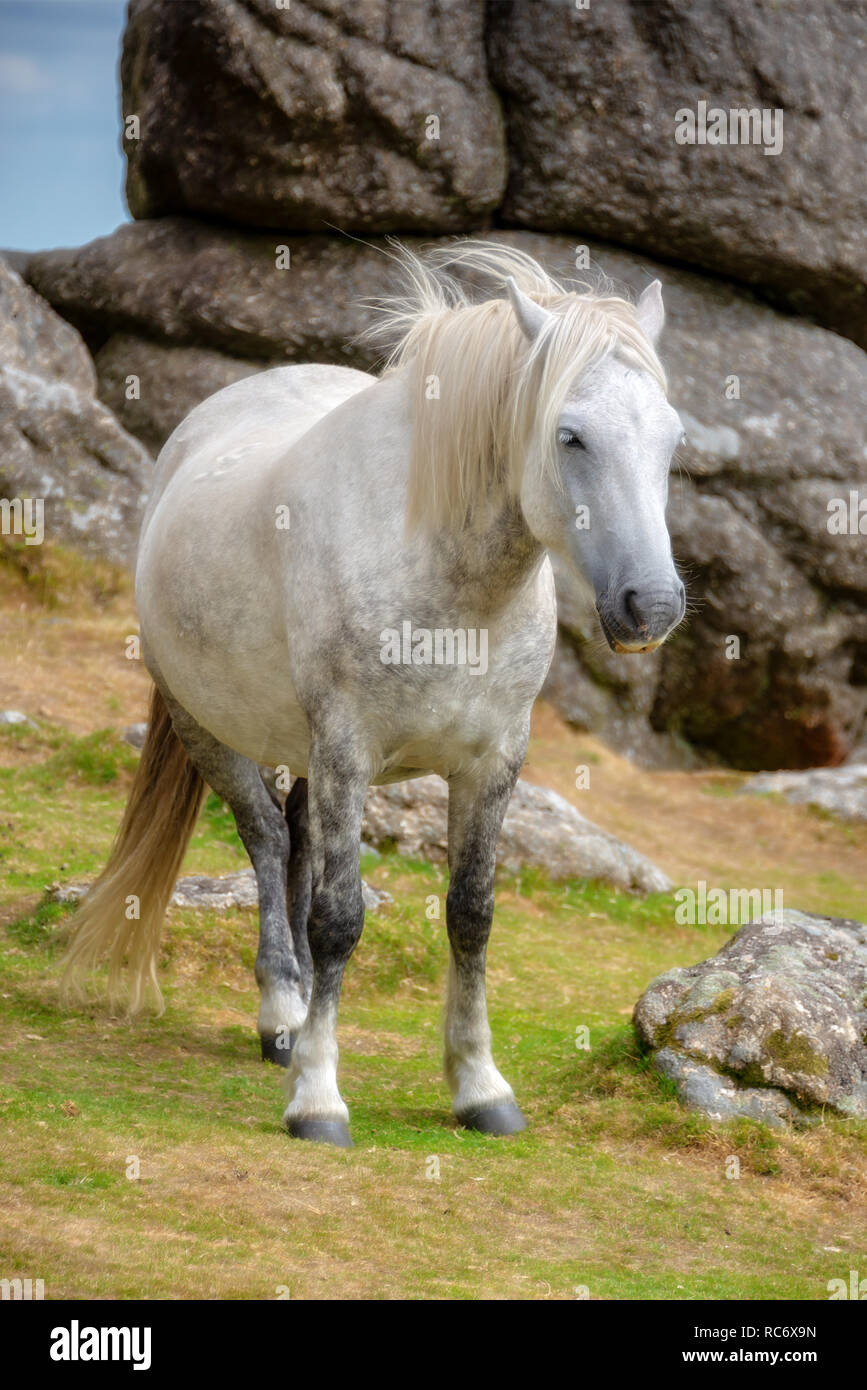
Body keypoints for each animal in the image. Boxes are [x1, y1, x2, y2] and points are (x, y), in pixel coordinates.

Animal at [64, 244, 683, 1145]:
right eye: (570, 436)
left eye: (672, 439)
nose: (653, 606)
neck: (446, 580)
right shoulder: (348, 753)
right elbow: (339, 919)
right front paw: (318, 1101)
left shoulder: (491, 764)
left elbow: (470, 914)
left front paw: (479, 1088)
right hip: (209, 728)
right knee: (267, 842)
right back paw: (281, 1016)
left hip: (304, 754)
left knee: (293, 840)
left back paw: (290, 1027)